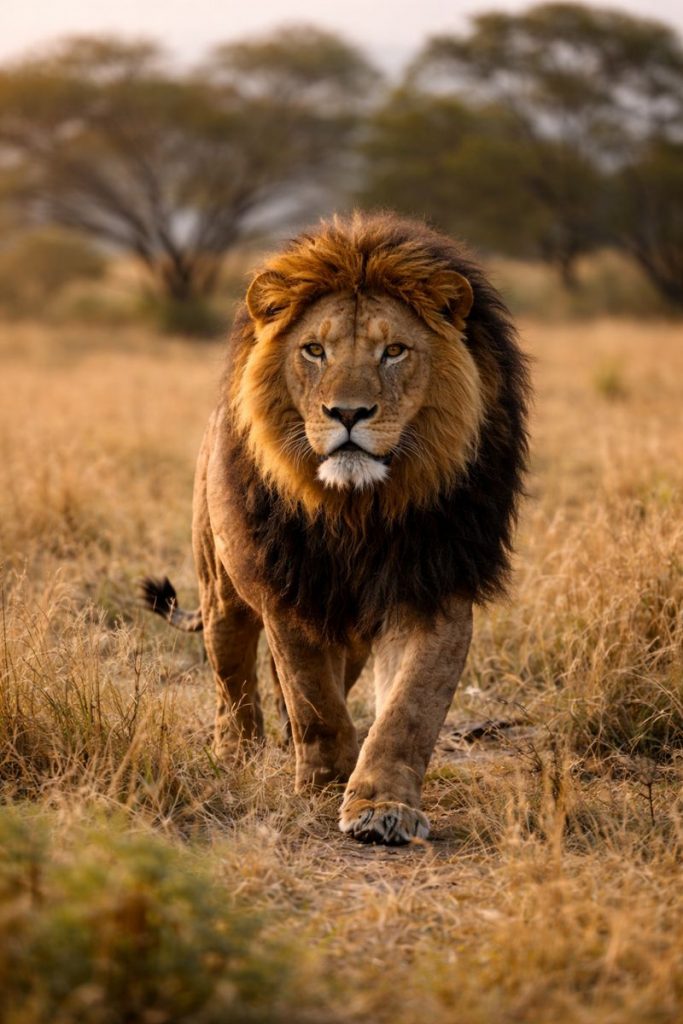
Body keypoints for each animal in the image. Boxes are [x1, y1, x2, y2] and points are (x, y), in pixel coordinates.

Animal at [141, 211, 529, 845]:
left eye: (394, 351)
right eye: (314, 350)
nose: (348, 414)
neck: (360, 509)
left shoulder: (436, 586)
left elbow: (409, 708)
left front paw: (381, 804)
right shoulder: (288, 590)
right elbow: (313, 701)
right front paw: (323, 784)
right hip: (221, 584)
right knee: (232, 676)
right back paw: (237, 754)